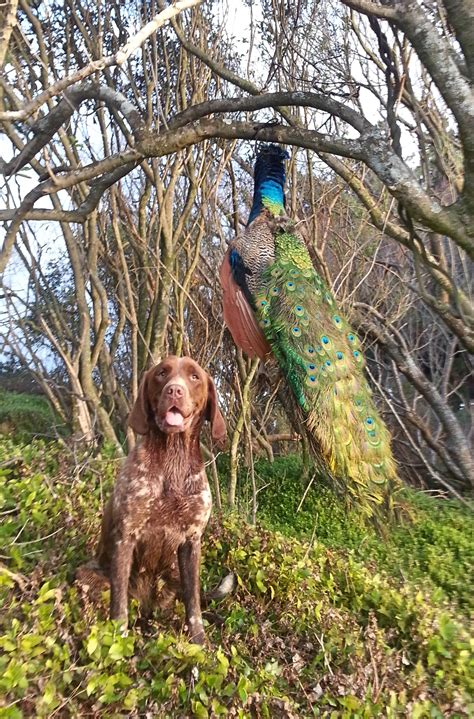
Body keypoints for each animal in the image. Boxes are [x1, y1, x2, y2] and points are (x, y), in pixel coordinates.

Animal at [77, 358, 227, 644]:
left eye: (194, 376)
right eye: (161, 373)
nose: (174, 391)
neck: (172, 458)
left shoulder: (192, 542)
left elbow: (194, 603)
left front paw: (199, 641)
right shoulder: (126, 536)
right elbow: (119, 605)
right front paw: (119, 639)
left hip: (173, 576)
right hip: (87, 576)